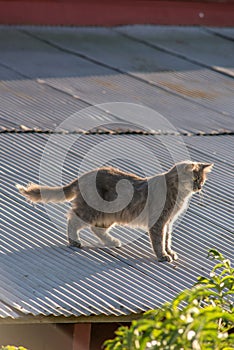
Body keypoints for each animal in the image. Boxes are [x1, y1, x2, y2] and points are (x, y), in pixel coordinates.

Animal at [15, 160, 213, 262]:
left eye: (202, 180)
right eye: (195, 179)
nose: (200, 187)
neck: (178, 195)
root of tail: (84, 175)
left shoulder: (168, 222)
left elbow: (167, 240)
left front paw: (169, 252)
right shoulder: (159, 222)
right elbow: (158, 241)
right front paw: (163, 256)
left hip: (110, 215)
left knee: (95, 228)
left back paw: (112, 242)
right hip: (93, 210)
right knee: (72, 219)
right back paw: (74, 241)